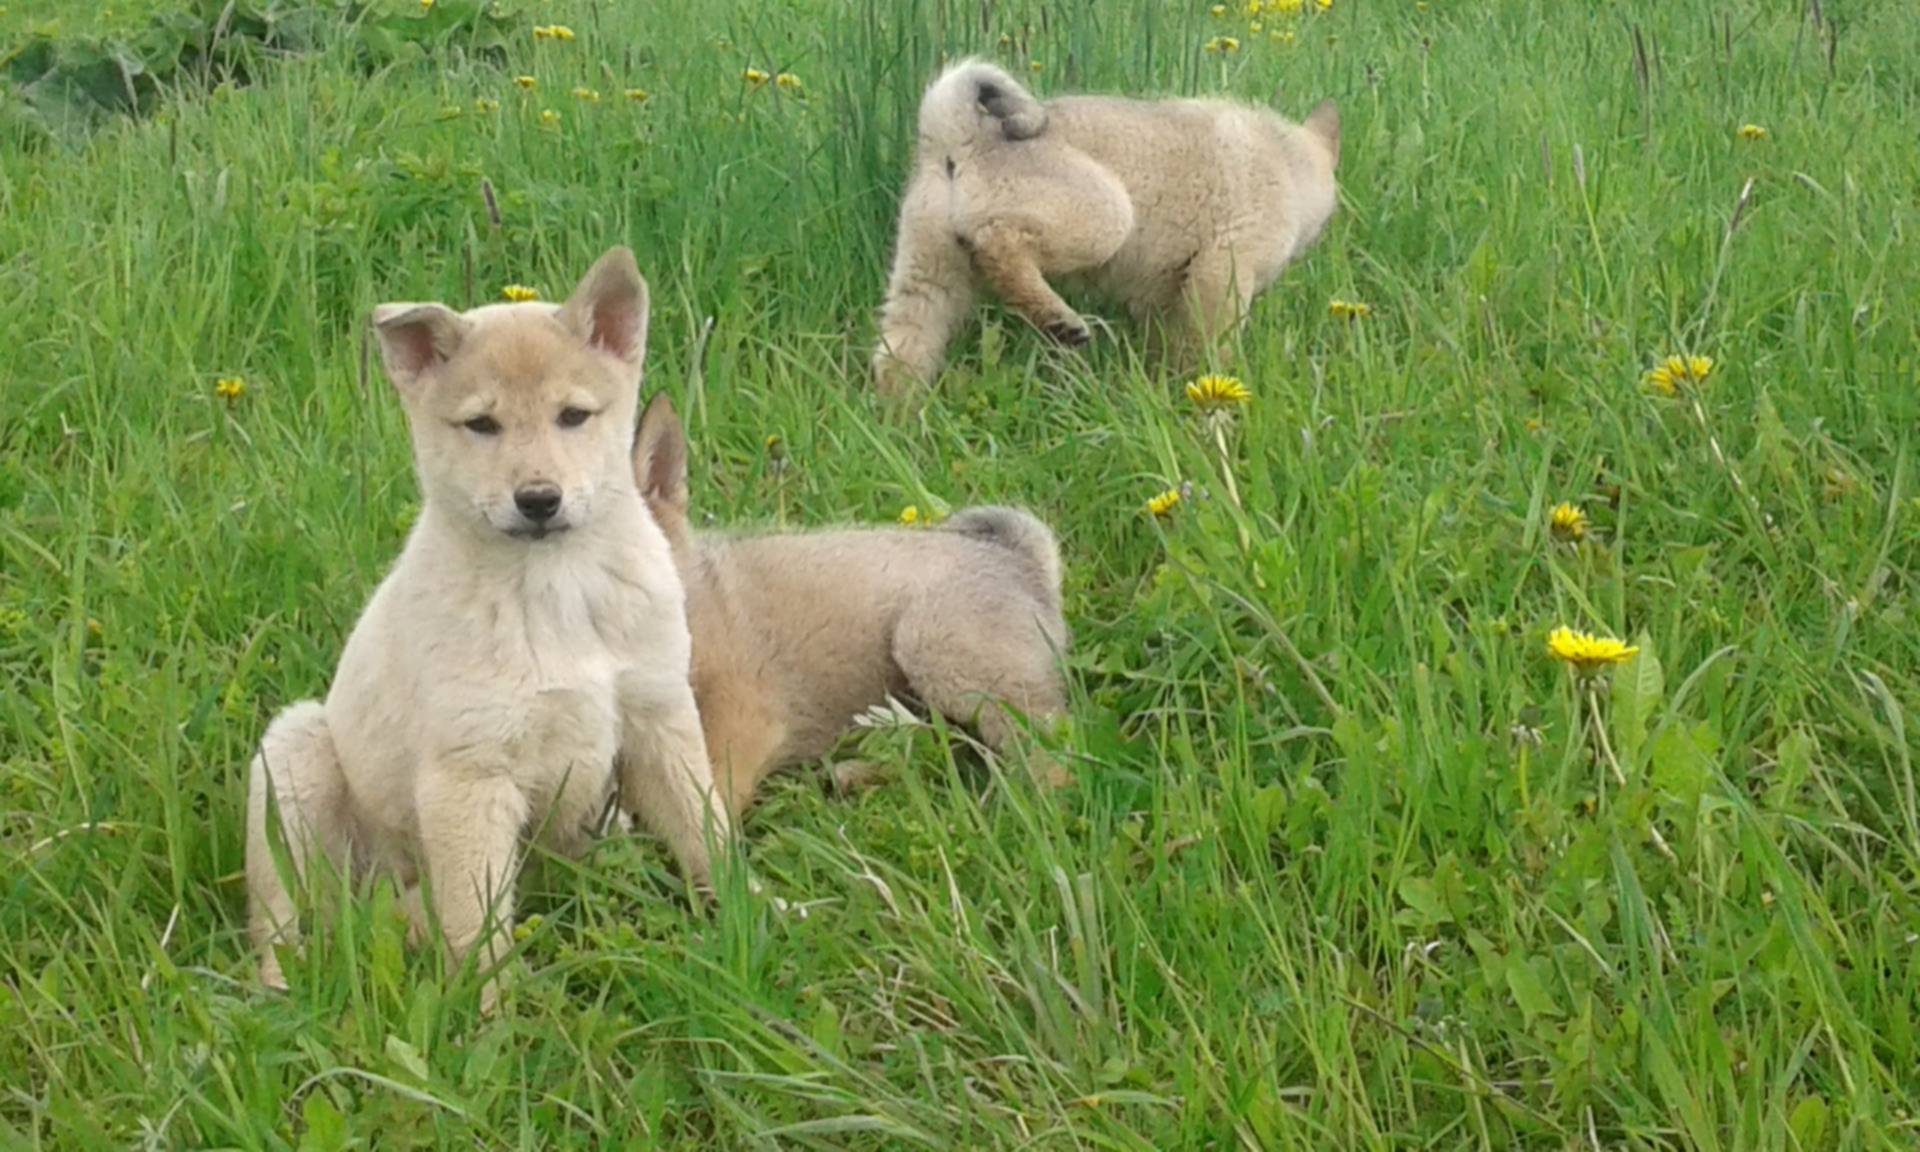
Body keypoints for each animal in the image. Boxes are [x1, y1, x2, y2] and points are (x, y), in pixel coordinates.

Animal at [247, 249, 725, 998]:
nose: (538, 500)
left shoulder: (659, 717)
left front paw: (756, 921)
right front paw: (492, 1017)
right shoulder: (469, 775)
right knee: (281, 922)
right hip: (293, 762)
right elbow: (477, 927)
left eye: (573, 416)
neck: (558, 586)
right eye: (481, 426)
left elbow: (708, 833)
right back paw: (278, 998)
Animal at [633, 395, 1075, 810]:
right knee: (939, 742)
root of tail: (1021, 556)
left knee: (1050, 753)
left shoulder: (744, 711)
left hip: (932, 645)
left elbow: (705, 793)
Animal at [875, 59, 1344, 395]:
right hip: (1106, 218)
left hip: (928, 281)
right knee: (1001, 246)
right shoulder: (1222, 272)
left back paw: (903, 432)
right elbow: (1209, 350)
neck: (1288, 162)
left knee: (897, 357)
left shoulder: (1163, 295)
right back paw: (1059, 320)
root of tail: (963, 135)